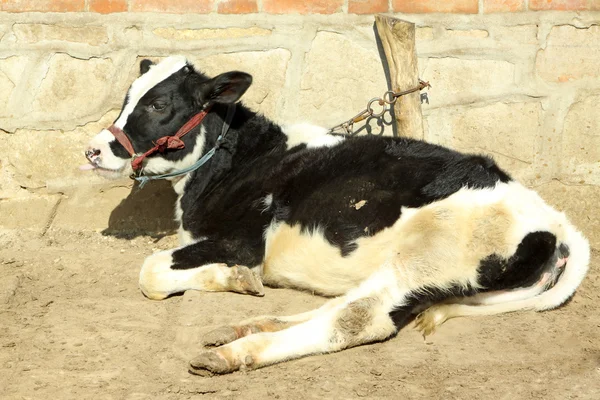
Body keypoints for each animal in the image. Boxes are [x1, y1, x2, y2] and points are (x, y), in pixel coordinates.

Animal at [83, 56, 592, 376]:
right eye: (128, 98)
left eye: (158, 104)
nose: (92, 150)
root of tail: (558, 222)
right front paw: (240, 282)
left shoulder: (242, 241)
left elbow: (150, 271)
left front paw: (236, 278)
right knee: (340, 304)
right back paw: (243, 328)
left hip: (428, 254)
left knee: (356, 318)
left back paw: (238, 352)